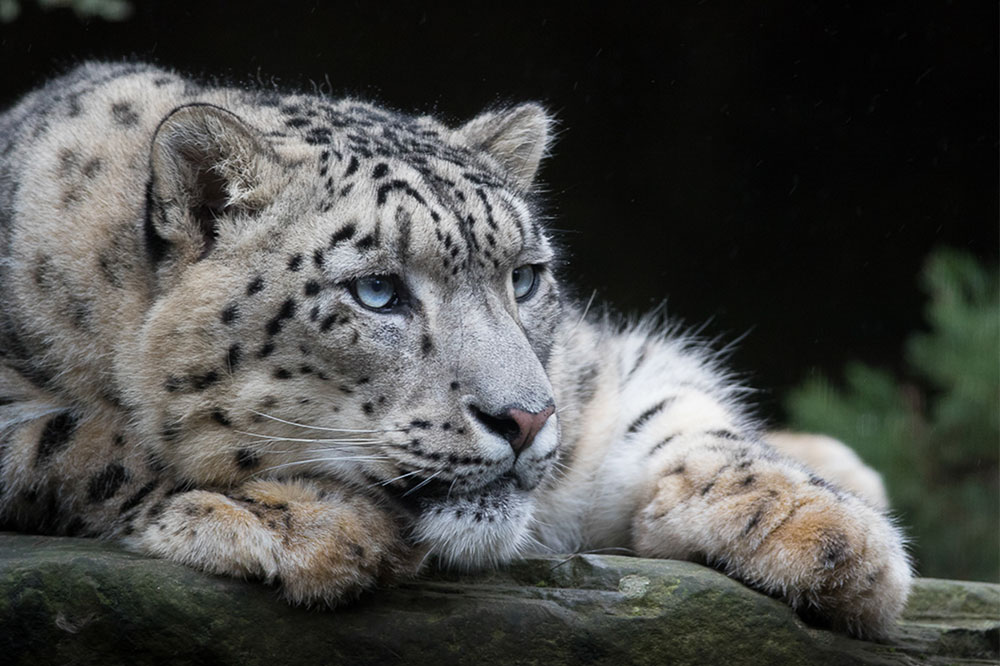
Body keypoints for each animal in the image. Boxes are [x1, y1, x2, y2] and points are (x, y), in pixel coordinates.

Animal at [0, 62, 911, 638]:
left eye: (526, 277)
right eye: (376, 291)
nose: (526, 417)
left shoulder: (590, 375)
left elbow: (673, 414)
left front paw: (828, 538)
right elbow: (85, 439)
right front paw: (304, 520)